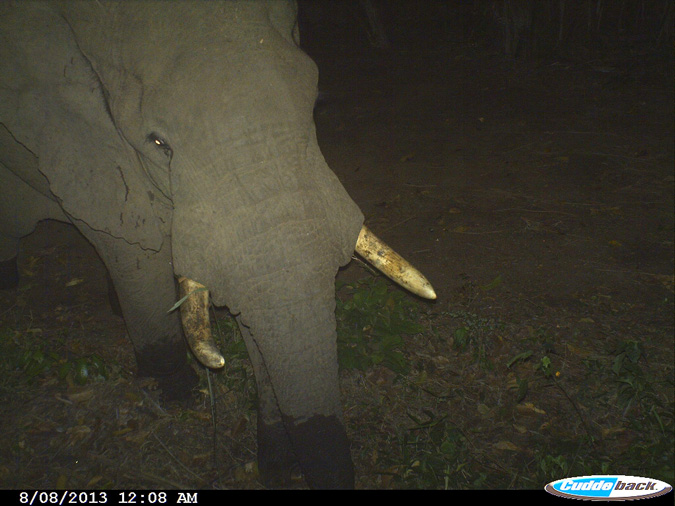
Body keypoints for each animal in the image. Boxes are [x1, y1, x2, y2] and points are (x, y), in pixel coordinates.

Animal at [0, 0, 434, 490]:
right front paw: (174, 394)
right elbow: (132, 245)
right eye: (158, 143)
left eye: (314, 103)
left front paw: (277, 465)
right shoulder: (81, 136)